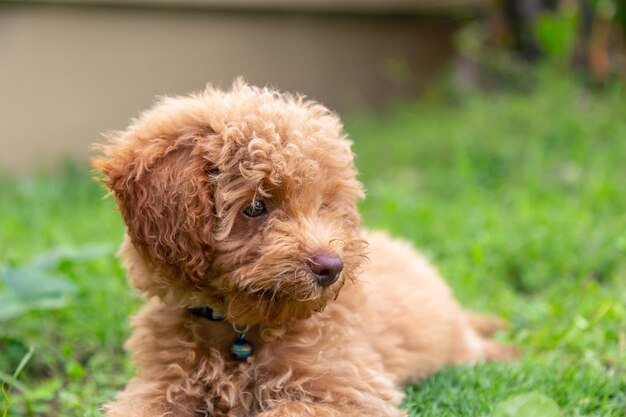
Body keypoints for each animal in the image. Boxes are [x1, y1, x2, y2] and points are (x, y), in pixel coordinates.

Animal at [91, 79, 512, 414]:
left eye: (324, 205)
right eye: (256, 207)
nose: (332, 267)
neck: (239, 333)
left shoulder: (347, 387)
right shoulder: (159, 383)